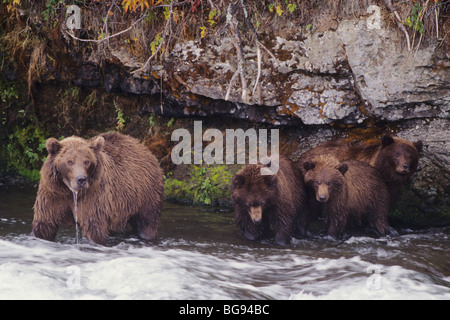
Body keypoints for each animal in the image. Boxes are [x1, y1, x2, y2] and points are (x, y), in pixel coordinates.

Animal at [32, 132, 165, 245]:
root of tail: (145, 149)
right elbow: (45, 223)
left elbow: (94, 228)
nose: (81, 179)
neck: (69, 191)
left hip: (146, 195)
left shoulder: (93, 197)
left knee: (147, 222)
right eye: (69, 161)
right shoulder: (53, 194)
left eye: (86, 161)